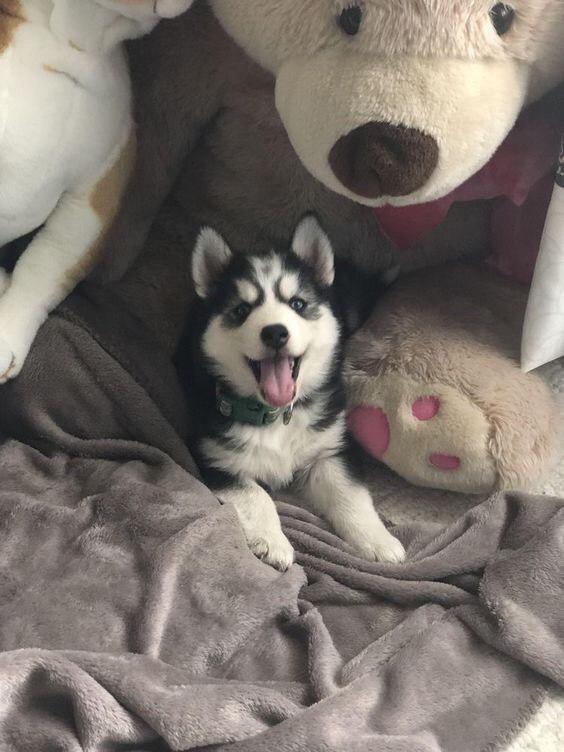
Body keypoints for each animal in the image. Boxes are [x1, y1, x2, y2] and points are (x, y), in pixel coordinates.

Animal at [177, 220, 406, 572]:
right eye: (241, 310)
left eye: (297, 304)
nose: (275, 332)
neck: (276, 416)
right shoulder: (212, 455)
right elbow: (256, 495)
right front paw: (272, 543)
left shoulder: (329, 449)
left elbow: (351, 495)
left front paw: (379, 541)